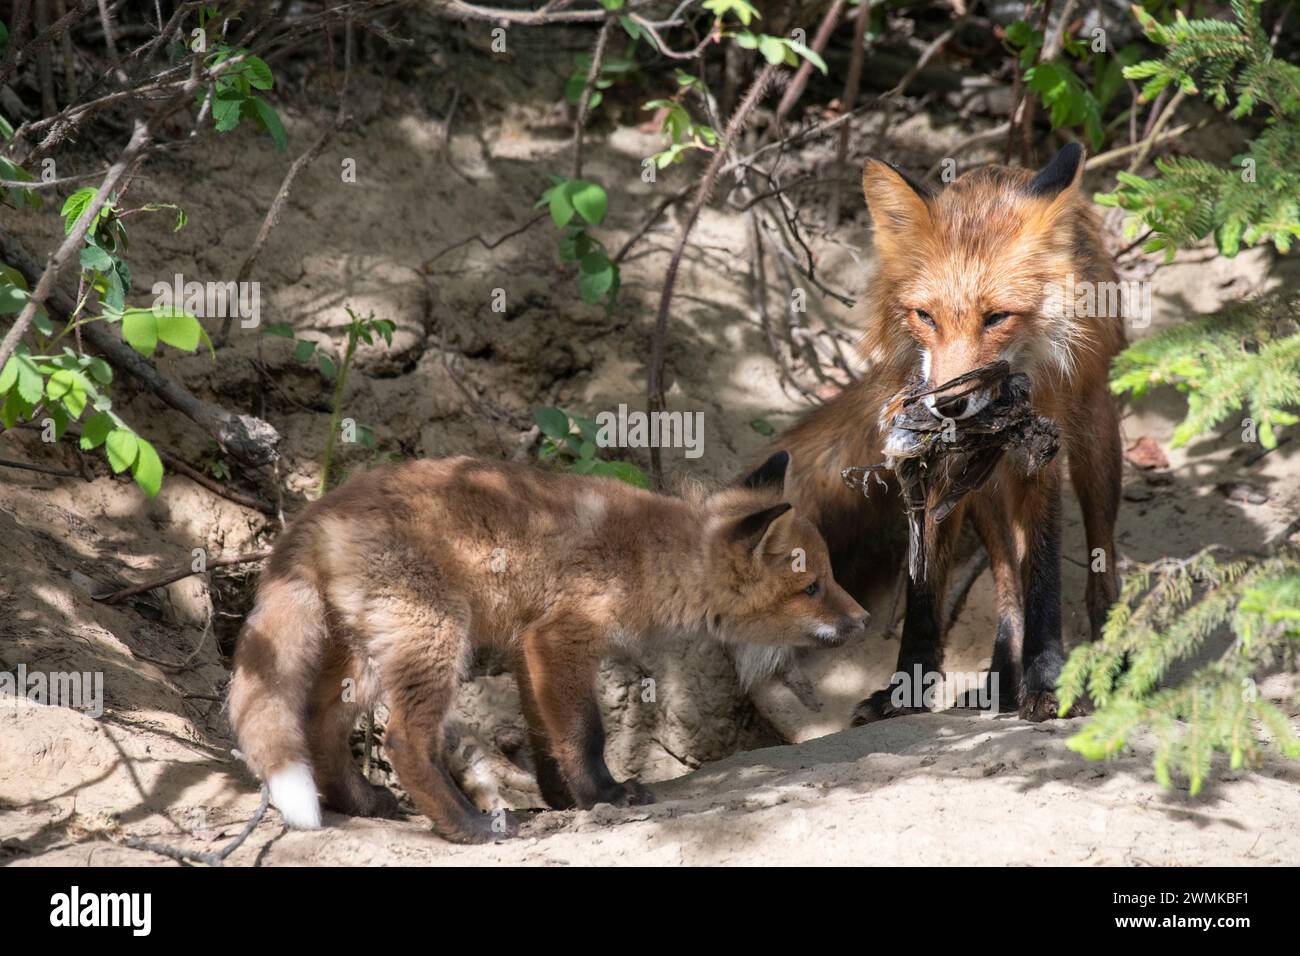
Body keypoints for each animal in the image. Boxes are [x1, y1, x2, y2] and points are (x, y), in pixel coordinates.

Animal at [228, 452, 868, 842]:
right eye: (813, 587)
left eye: (830, 578)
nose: (862, 621)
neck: (651, 560)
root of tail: (317, 510)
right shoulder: (561, 638)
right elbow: (586, 732)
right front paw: (605, 793)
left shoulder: (526, 647)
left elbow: (546, 738)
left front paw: (567, 799)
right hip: (433, 639)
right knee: (404, 741)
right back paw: (467, 826)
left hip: (364, 656)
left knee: (318, 722)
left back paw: (363, 802)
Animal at [754, 145, 1128, 723]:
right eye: (925, 316)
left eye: (997, 317)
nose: (948, 405)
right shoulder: (937, 470)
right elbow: (925, 593)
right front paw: (904, 690)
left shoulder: (1038, 459)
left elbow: (1044, 575)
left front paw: (1046, 681)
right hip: (984, 494)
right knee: (1005, 581)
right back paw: (1002, 679)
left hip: (1093, 442)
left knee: (1098, 555)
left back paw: (1111, 655)